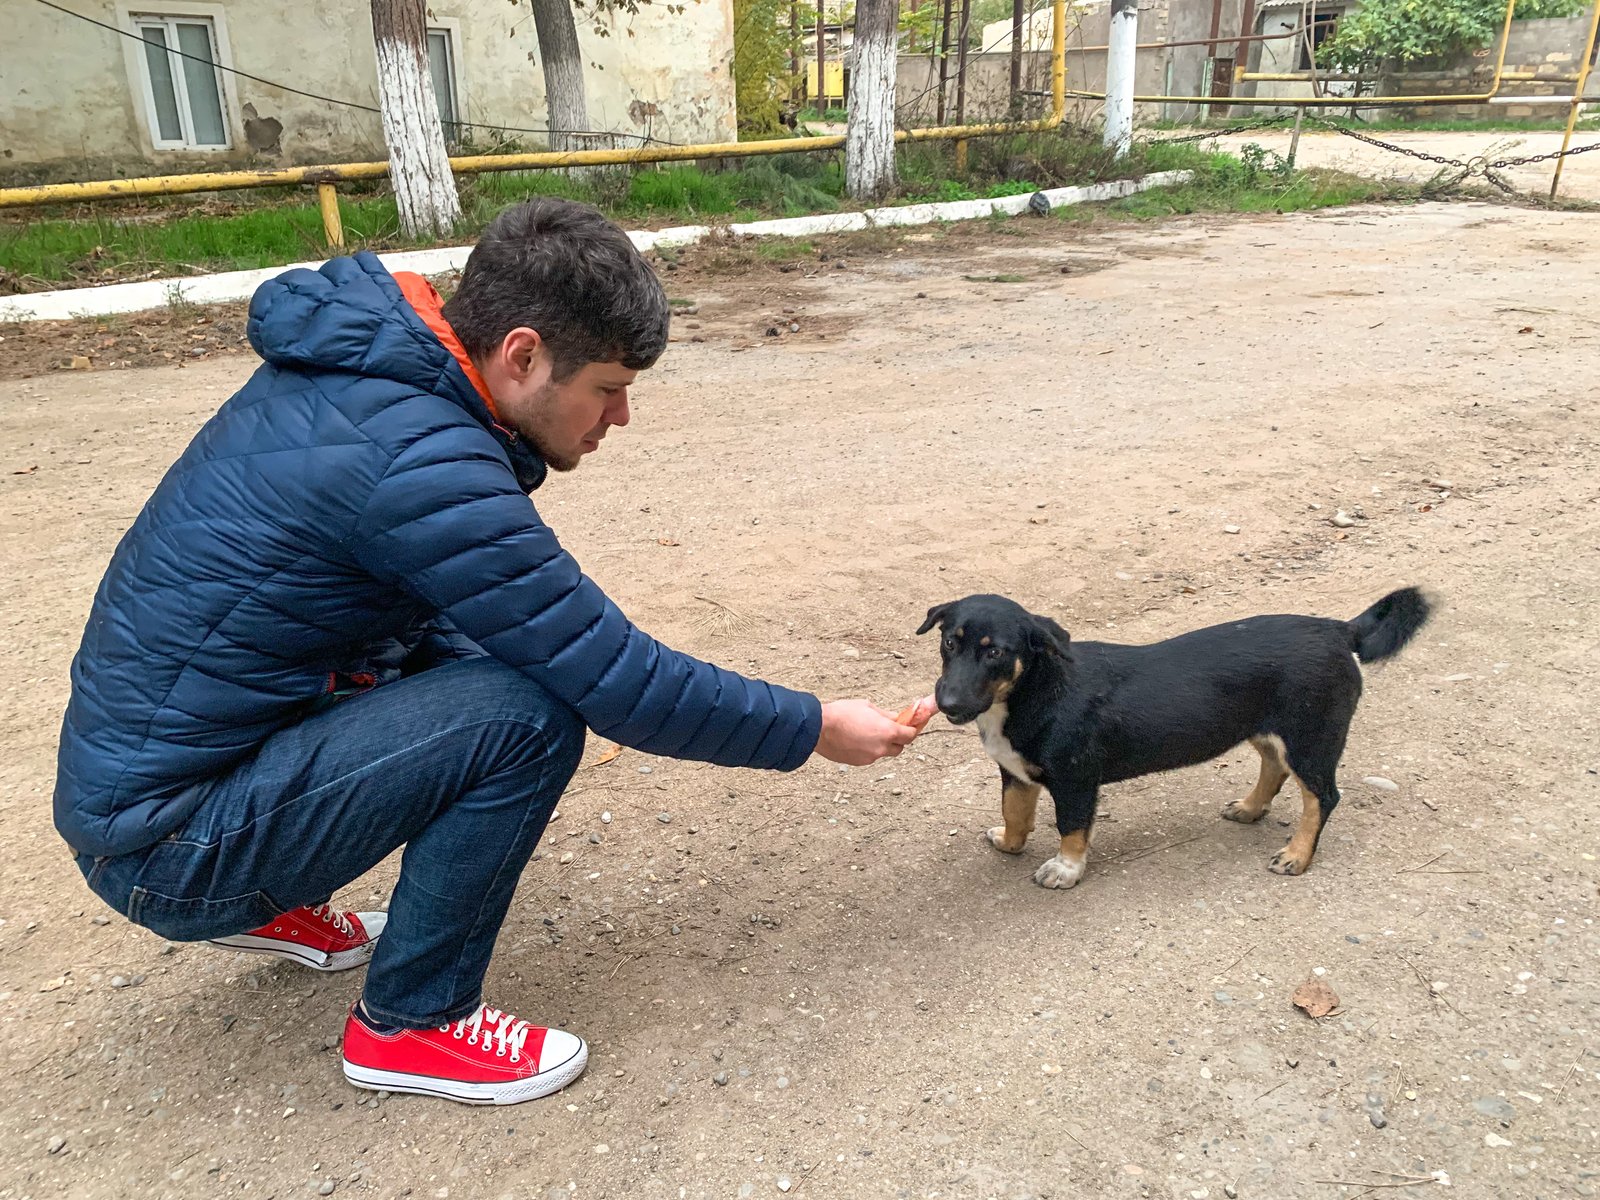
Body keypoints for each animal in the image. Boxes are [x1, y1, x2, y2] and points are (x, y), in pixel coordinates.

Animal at [921, 588, 1433, 889]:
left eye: (996, 653)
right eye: (950, 642)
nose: (946, 703)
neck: (1035, 690)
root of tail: (1338, 628)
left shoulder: (1075, 780)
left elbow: (1071, 829)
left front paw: (1065, 870)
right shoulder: (1015, 772)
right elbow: (1015, 813)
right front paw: (1009, 843)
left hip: (1312, 739)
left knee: (1322, 797)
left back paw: (1296, 856)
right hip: (1265, 729)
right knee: (1274, 766)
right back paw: (1251, 809)